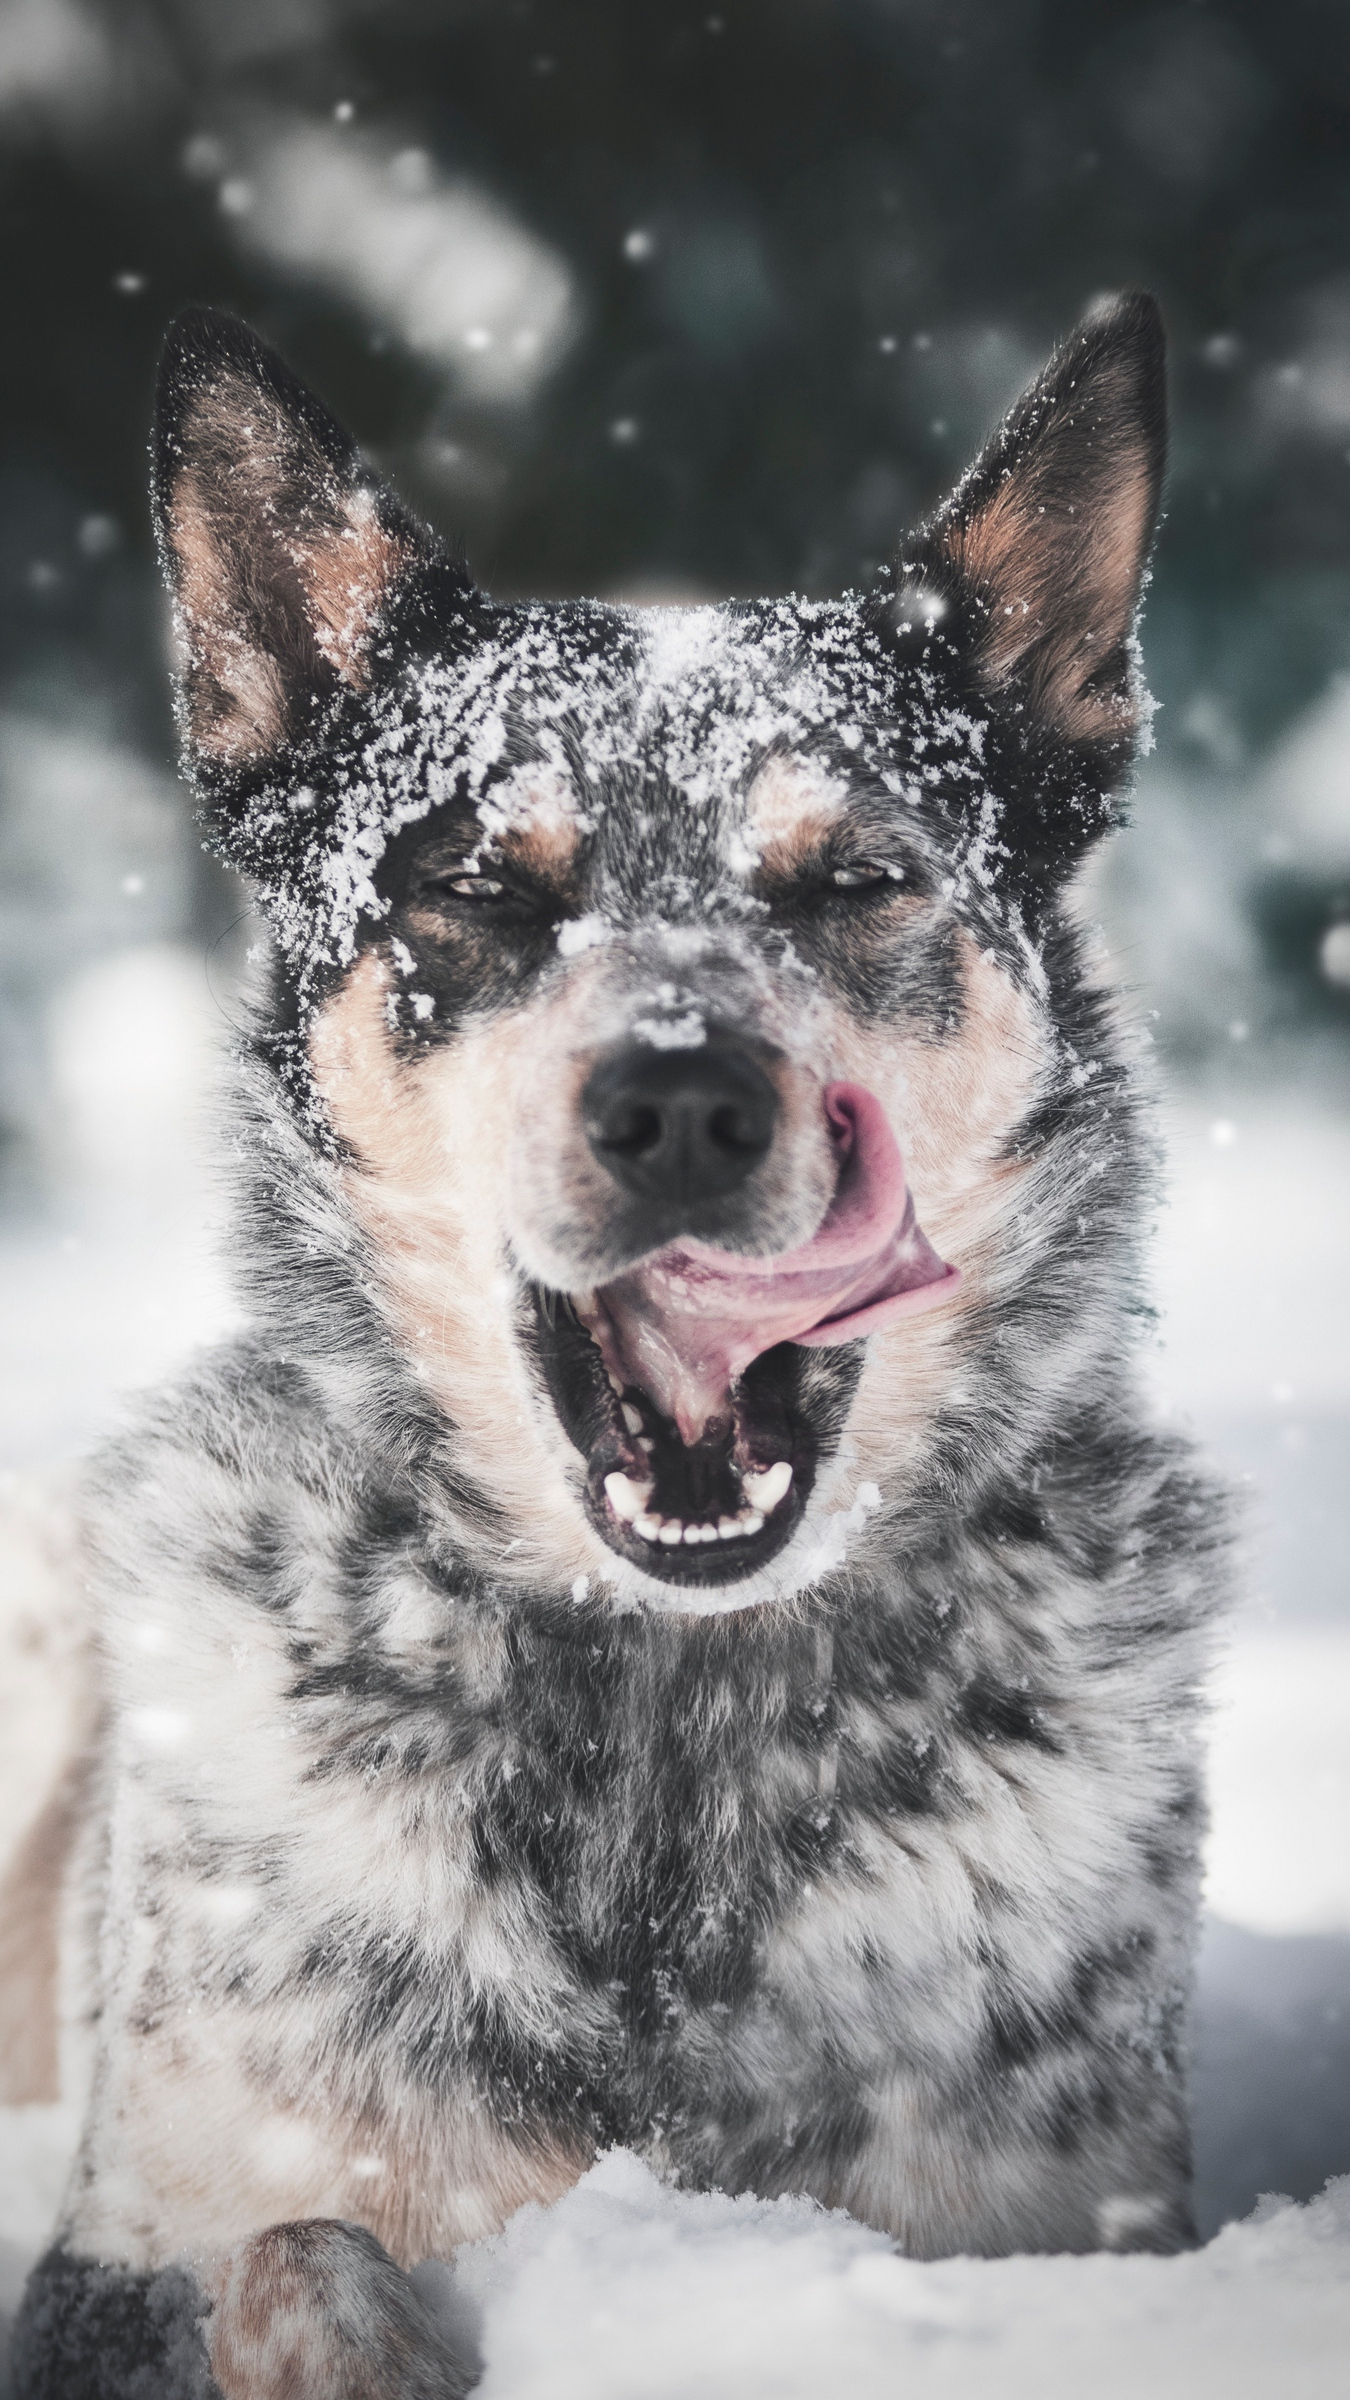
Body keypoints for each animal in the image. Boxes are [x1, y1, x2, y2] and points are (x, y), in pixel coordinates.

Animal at [13, 295, 1220, 2400]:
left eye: (855, 880)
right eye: (481, 886)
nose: (683, 1103)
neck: (664, 1722)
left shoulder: (1070, 2223)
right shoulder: (125, 2248)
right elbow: (296, 2245)